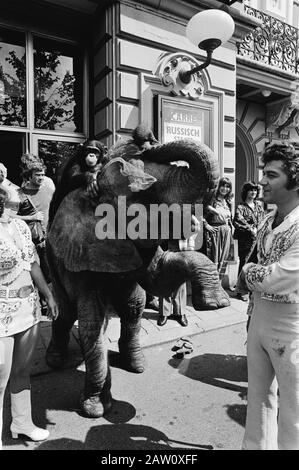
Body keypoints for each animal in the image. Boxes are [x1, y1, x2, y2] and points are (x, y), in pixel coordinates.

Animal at [46, 138, 230, 416]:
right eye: (147, 197)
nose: (144, 141)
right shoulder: (81, 251)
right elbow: (91, 324)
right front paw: (95, 409)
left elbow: (160, 276)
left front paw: (215, 304)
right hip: (51, 261)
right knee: (66, 312)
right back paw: (55, 361)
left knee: (134, 307)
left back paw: (135, 364)